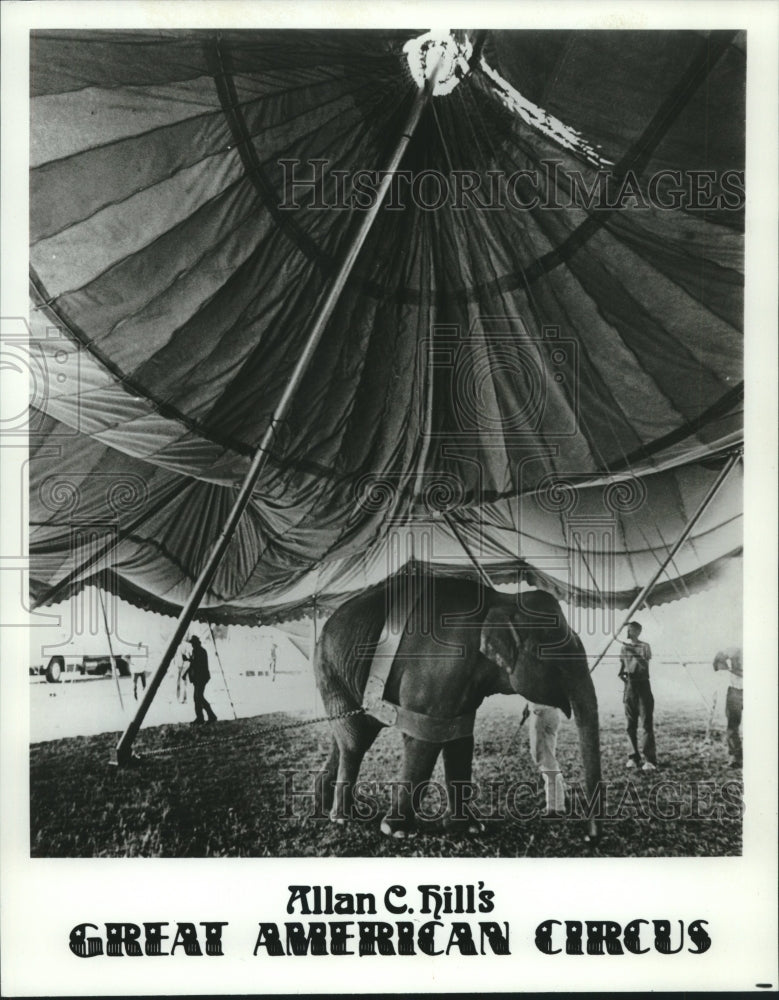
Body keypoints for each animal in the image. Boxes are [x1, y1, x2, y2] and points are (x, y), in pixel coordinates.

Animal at [316, 572, 604, 844]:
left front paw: (470, 828)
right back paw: (343, 817)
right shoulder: (436, 666)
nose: (589, 836)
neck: (502, 602)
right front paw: (396, 831)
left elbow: (459, 736)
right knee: (355, 741)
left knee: (347, 734)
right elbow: (425, 738)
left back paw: (325, 803)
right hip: (331, 669)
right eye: (560, 661)